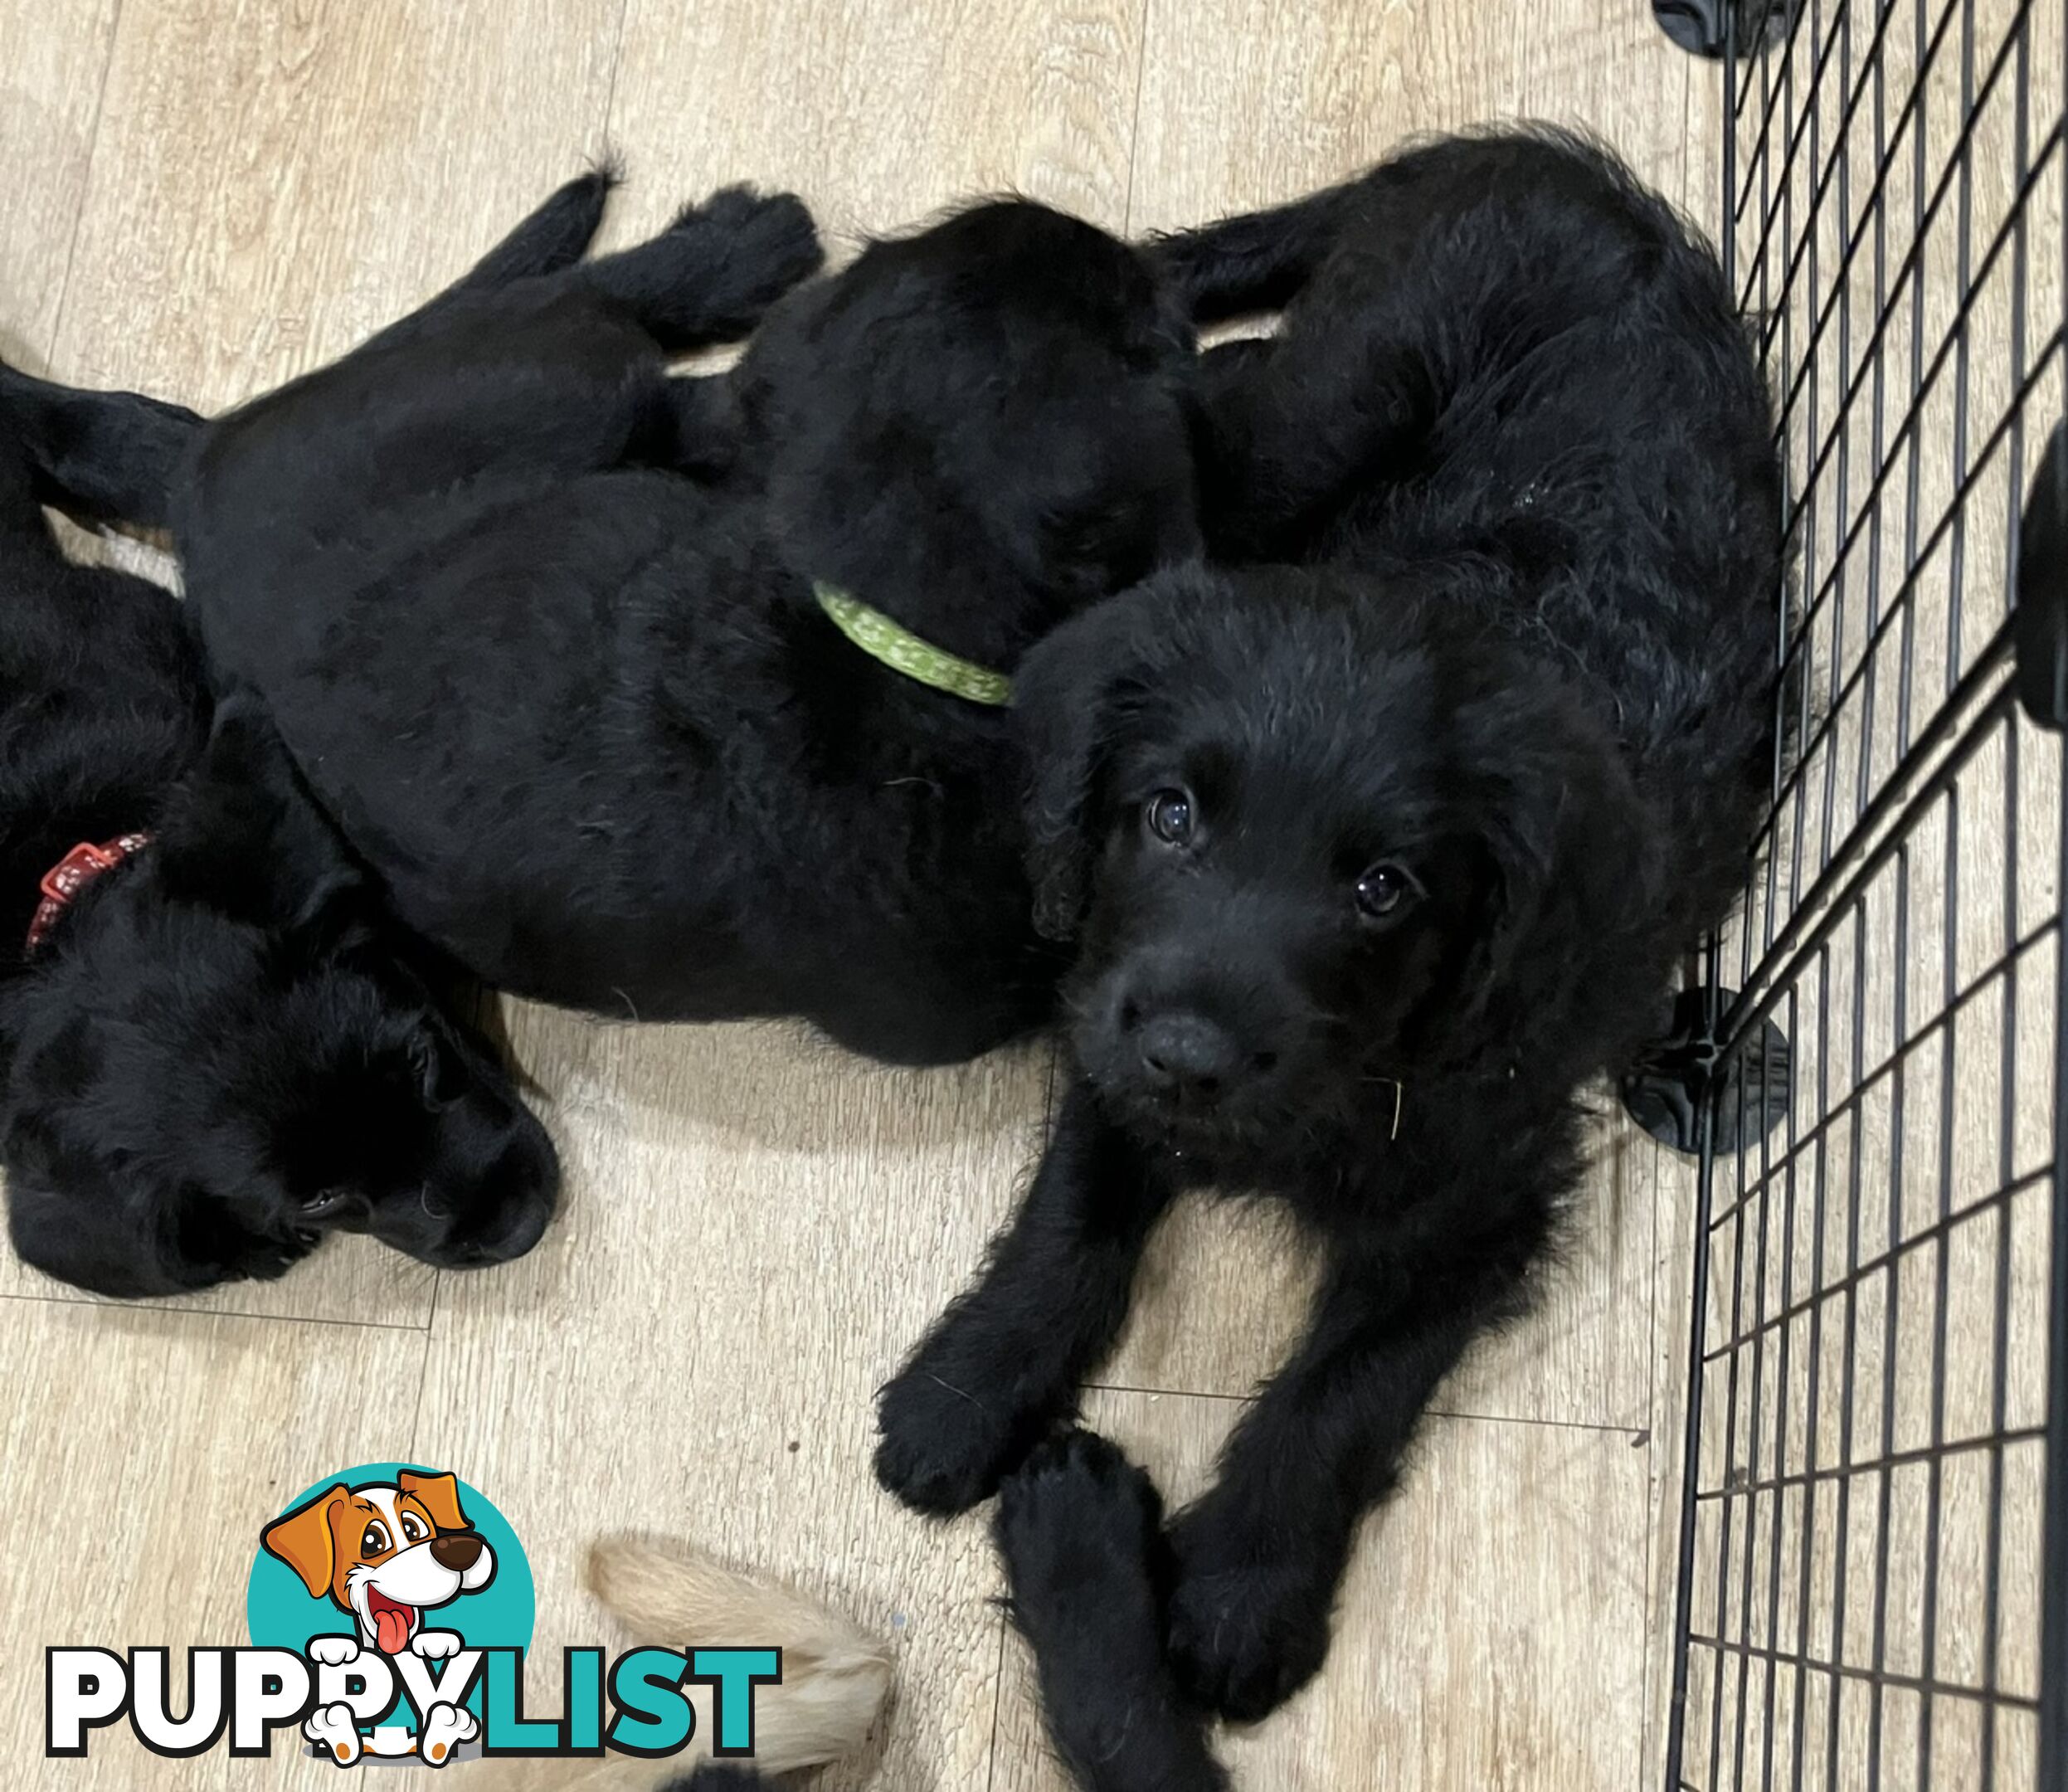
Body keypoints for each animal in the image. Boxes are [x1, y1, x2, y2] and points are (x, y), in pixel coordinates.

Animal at [173, 170, 1207, 1059]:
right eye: (1142, 337)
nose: (1123, 249)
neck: (894, 642)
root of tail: (202, 469)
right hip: (560, 382)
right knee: (585, 311)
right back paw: (741, 241)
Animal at [873, 125, 1778, 1721]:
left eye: (1383, 889)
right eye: (1169, 814)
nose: (1192, 1057)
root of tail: (1552, 164)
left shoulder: (1481, 1194)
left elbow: (1343, 1388)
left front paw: (1243, 1589)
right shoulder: (1116, 1008)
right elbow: (1067, 1219)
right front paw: (966, 1385)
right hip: (1331, 398)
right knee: (1216, 401)